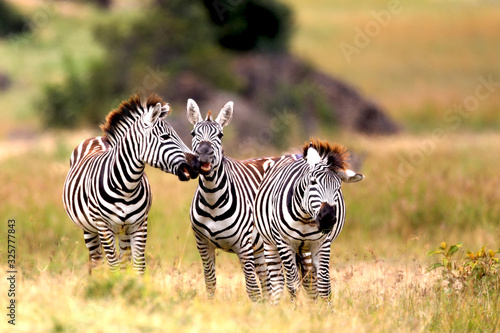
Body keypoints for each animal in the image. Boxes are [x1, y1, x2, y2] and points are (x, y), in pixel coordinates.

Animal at [64, 93, 199, 272]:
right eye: (165, 137)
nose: (196, 164)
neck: (126, 187)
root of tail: (97, 138)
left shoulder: (139, 225)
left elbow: (138, 266)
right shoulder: (104, 226)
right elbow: (113, 266)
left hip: (123, 232)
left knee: (123, 260)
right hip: (89, 228)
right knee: (97, 261)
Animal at [186, 98, 298, 300]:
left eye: (220, 135)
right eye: (193, 133)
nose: (204, 155)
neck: (212, 200)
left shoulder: (244, 246)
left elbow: (252, 289)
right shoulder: (202, 243)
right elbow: (210, 283)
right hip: (262, 249)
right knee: (268, 283)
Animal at [254, 137, 364, 300]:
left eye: (338, 188)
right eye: (313, 182)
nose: (327, 218)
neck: (305, 218)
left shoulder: (322, 243)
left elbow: (323, 285)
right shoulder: (284, 243)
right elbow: (293, 284)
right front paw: (296, 307)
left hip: (305, 249)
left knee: (310, 281)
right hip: (270, 244)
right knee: (277, 281)